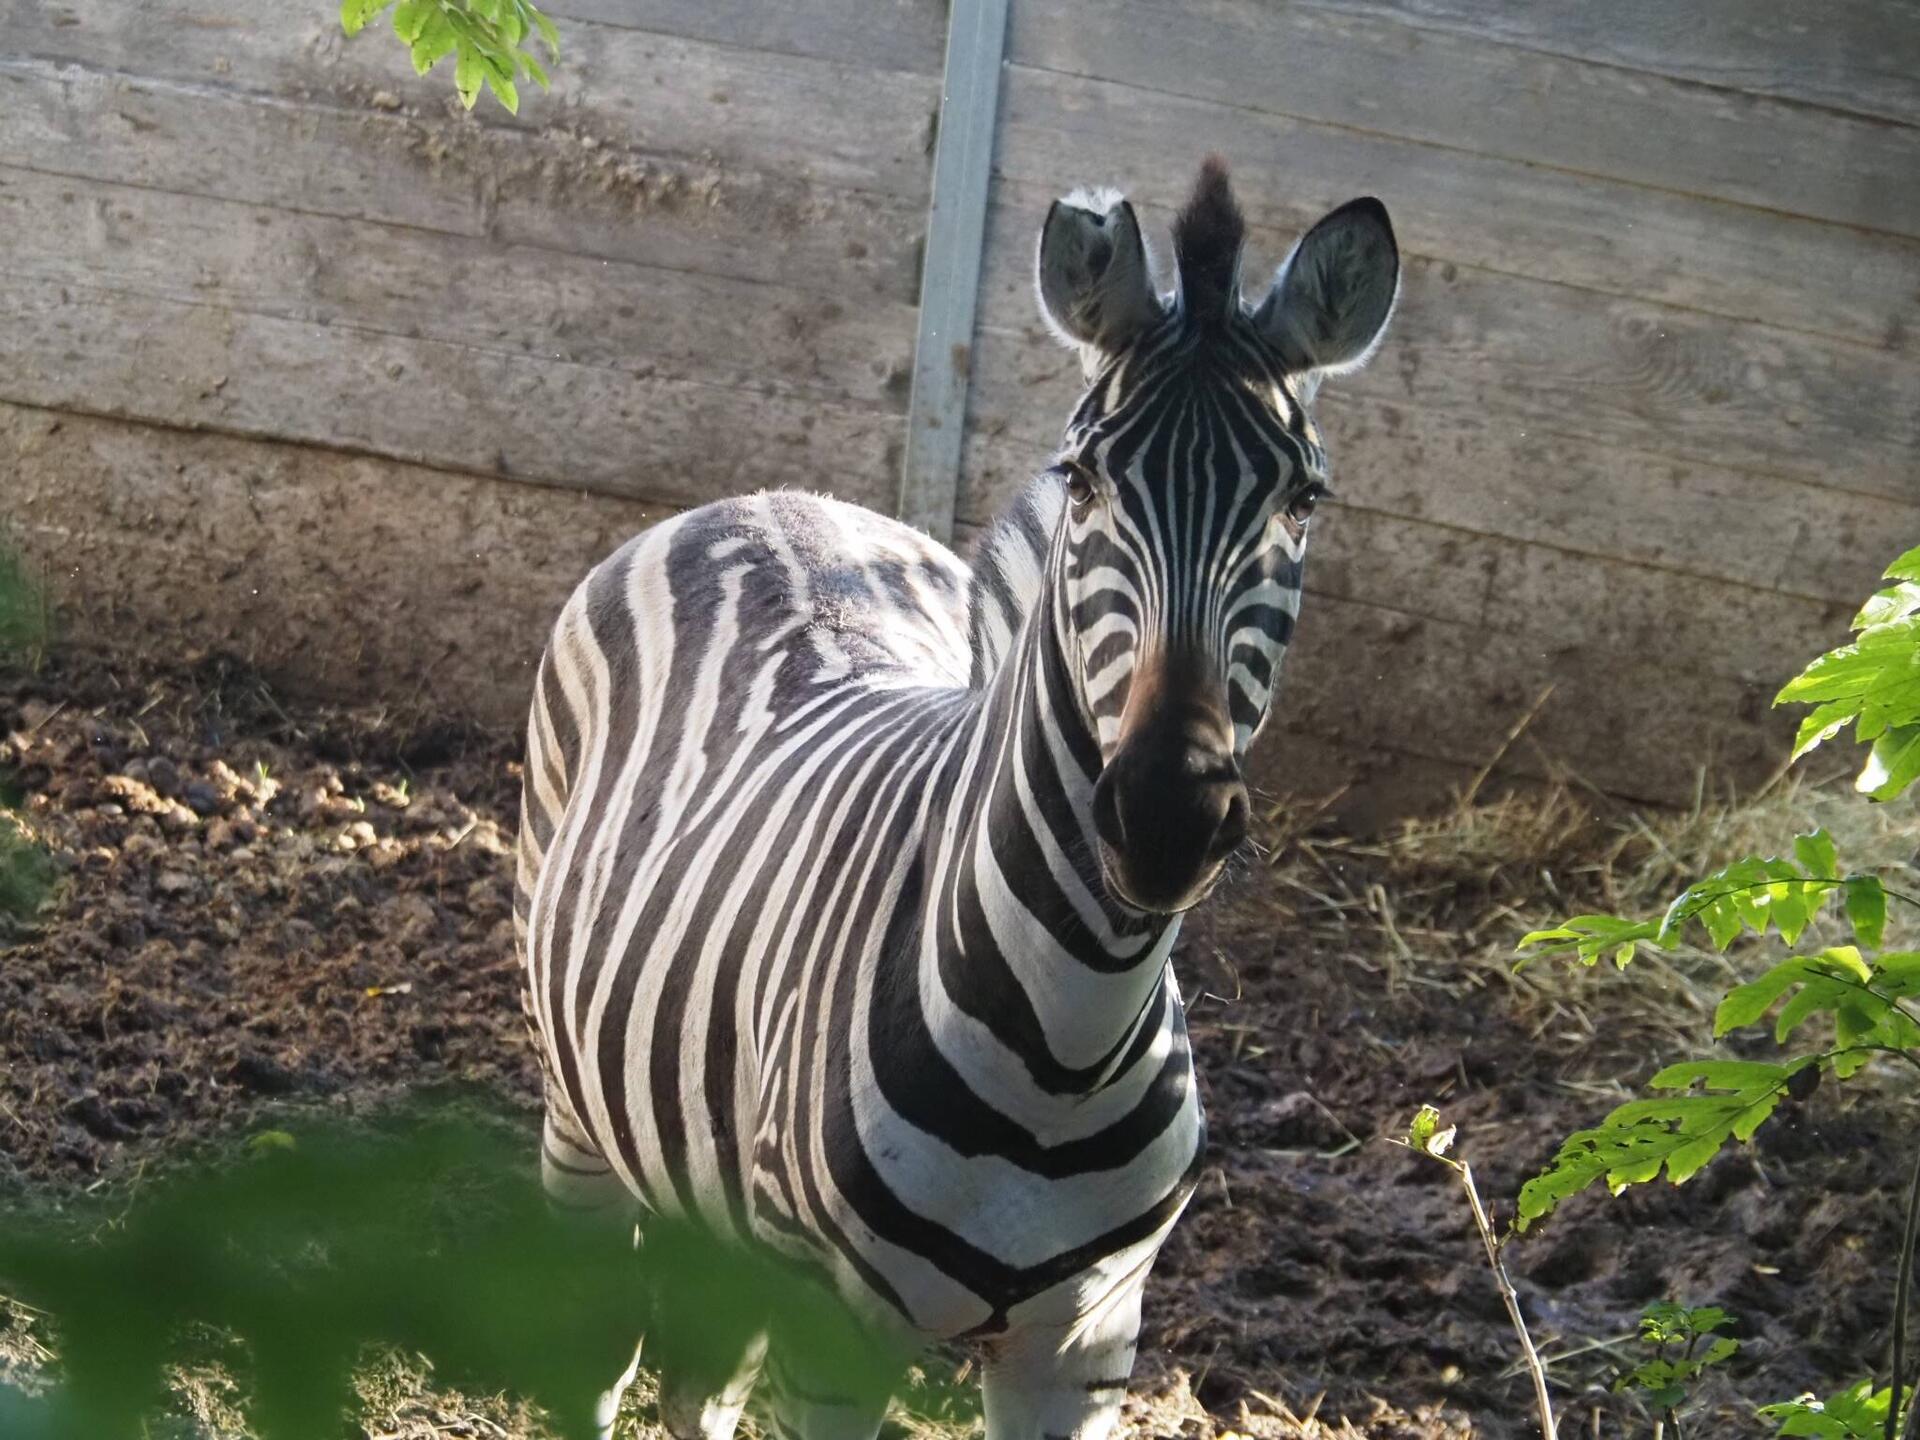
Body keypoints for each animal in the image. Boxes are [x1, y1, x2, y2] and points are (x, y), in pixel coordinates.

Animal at [515, 157, 1398, 1440]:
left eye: (1303, 501)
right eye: (1082, 481)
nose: (1166, 817)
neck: (1071, 1042)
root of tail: (771, 497)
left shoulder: (1084, 1348)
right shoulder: (833, 1340)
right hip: (580, 1112)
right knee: (595, 1362)